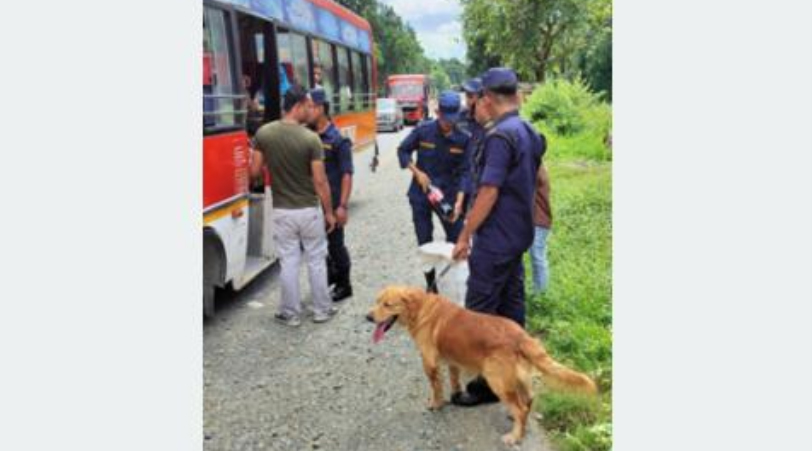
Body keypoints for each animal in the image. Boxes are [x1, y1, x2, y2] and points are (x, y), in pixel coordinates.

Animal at [366, 286, 596, 444]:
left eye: (387, 304)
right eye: (377, 301)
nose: (367, 317)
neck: (422, 308)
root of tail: (521, 335)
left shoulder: (429, 362)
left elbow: (435, 388)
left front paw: (435, 404)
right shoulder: (452, 361)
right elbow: (453, 381)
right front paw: (455, 396)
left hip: (497, 380)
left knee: (520, 407)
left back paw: (515, 437)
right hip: (521, 378)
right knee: (528, 401)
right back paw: (519, 425)